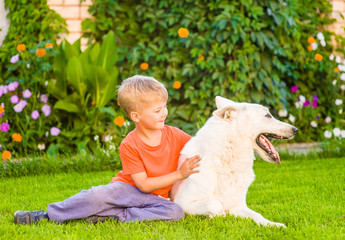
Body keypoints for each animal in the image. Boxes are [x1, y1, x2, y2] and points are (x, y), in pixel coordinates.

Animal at [171, 96, 296, 227]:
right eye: (268, 115)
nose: (295, 129)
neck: (227, 161)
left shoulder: (238, 206)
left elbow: (257, 215)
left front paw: (273, 225)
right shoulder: (183, 202)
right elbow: (215, 204)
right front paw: (219, 215)